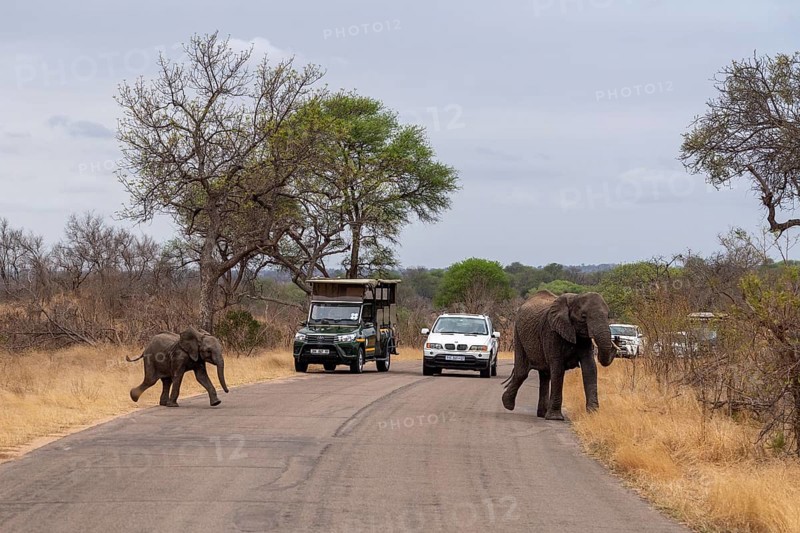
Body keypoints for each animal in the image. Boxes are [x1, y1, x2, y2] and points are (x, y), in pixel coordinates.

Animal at [502, 290, 616, 420]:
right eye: (583, 317)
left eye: (608, 316)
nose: (615, 344)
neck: (574, 298)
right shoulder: (551, 332)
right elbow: (558, 369)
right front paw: (555, 418)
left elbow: (590, 368)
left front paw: (593, 414)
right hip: (518, 333)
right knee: (522, 372)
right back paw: (507, 404)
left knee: (544, 375)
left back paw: (542, 414)